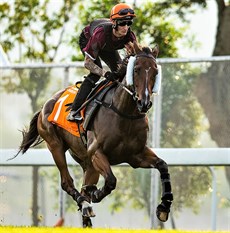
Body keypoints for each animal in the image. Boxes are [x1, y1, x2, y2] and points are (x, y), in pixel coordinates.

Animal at [15, 41, 172, 228]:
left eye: (155, 71)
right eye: (137, 69)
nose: (144, 103)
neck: (123, 112)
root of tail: (44, 105)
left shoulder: (136, 155)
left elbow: (162, 165)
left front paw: (164, 206)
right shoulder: (96, 152)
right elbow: (111, 180)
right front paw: (96, 194)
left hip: (87, 162)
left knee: (84, 185)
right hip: (55, 146)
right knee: (67, 182)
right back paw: (85, 203)